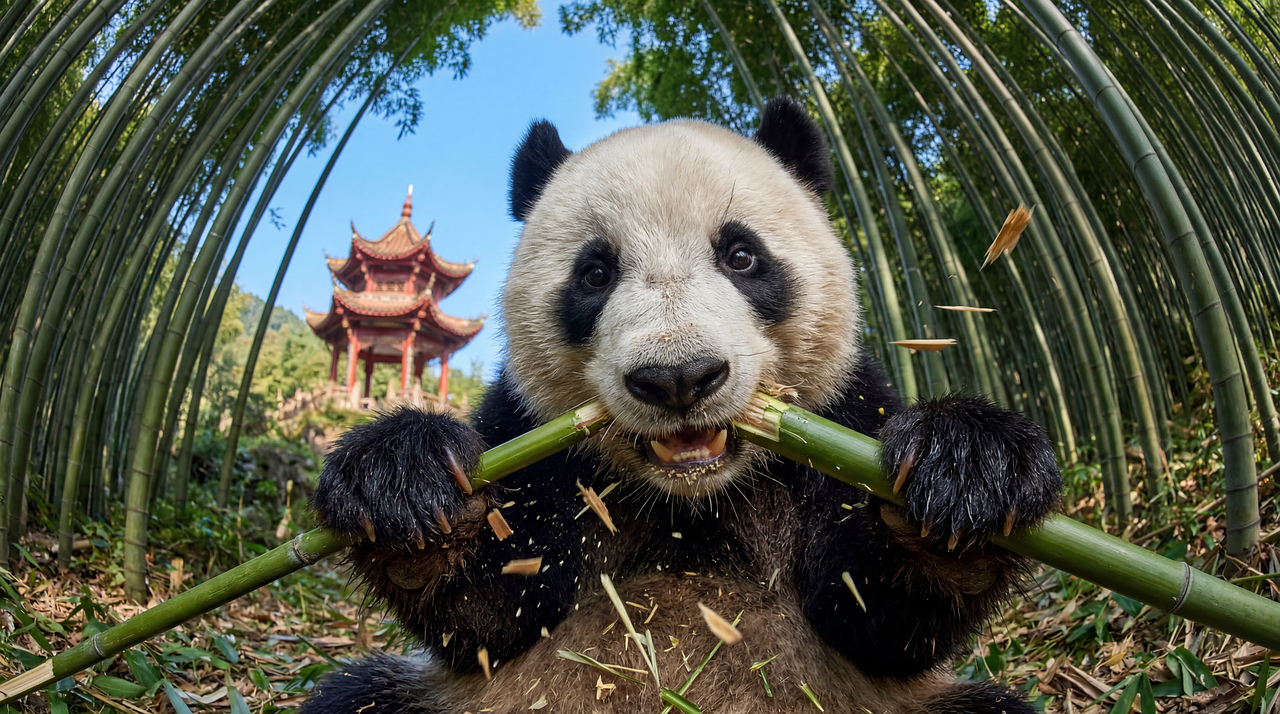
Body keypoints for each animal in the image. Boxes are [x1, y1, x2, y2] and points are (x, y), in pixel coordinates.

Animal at [301, 97, 1062, 713]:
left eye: (742, 256)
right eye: (595, 273)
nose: (678, 378)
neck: (692, 501)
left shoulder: (847, 411)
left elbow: (877, 618)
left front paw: (966, 469)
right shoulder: (525, 429)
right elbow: (493, 614)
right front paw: (404, 482)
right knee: (358, 696)